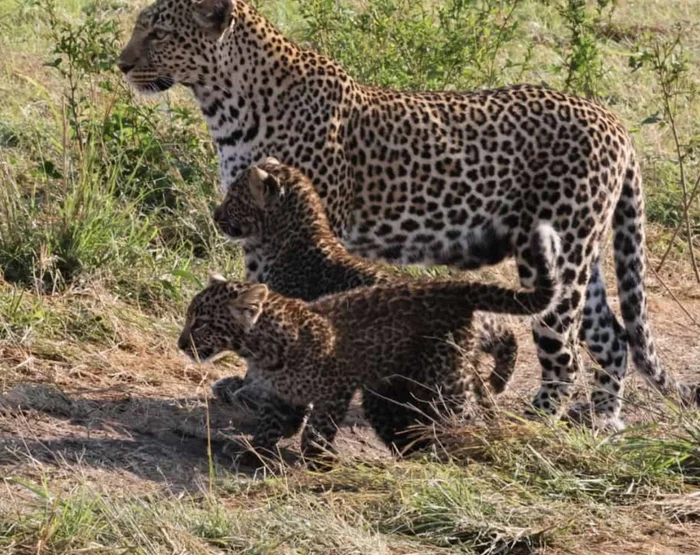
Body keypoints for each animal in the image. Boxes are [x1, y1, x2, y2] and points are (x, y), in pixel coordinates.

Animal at [120, 0, 696, 430]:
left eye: (157, 31)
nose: (122, 65)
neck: (225, 103)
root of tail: (614, 122)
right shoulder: (257, 235)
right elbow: (256, 298)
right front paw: (247, 381)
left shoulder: (297, 224)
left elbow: (277, 304)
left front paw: (259, 386)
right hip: (583, 249)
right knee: (613, 336)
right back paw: (601, 420)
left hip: (561, 251)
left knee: (565, 346)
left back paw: (541, 418)